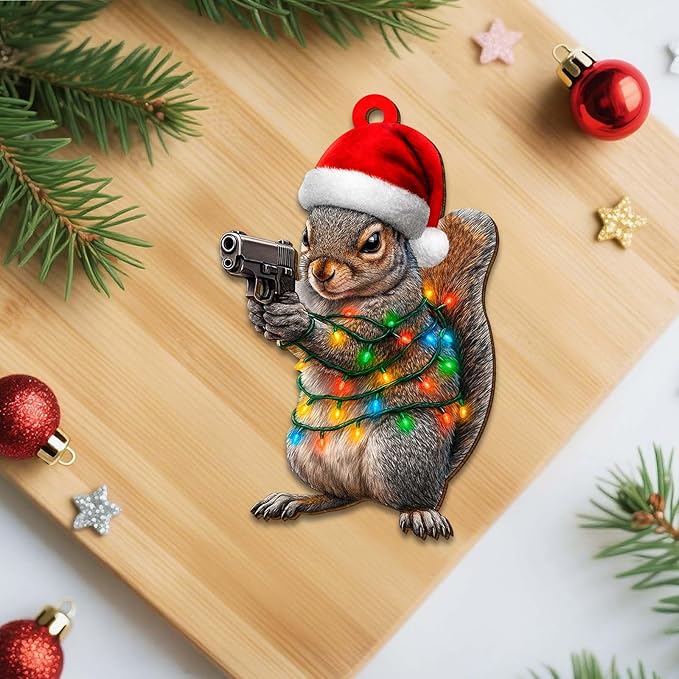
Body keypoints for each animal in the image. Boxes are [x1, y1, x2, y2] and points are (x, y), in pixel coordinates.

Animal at [246, 95, 497, 540]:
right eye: (306, 235)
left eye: (373, 242)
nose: (320, 271)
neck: (336, 302)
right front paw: (261, 313)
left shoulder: (391, 321)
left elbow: (352, 350)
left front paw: (297, 322)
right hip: (307, 450)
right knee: (339, 497)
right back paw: (296, 500)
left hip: (400, 447)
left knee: (399, 497)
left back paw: (420, 512)